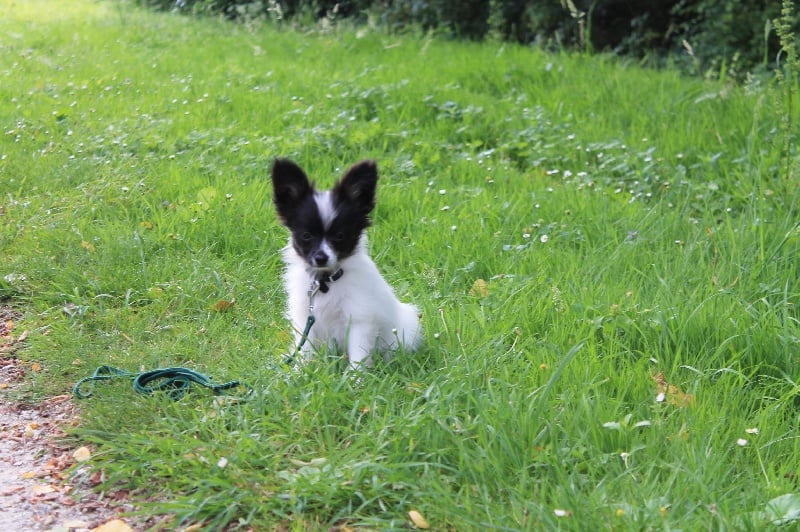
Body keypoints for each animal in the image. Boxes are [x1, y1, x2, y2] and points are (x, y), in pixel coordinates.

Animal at [270, 158, 422, 370]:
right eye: (306, 235)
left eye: (340, 236)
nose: (321, 258)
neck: (326, 282)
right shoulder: (305, 317)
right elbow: (305, 348)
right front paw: (299, 371)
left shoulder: (360, 319)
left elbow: (359, 355)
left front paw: (355, 377)